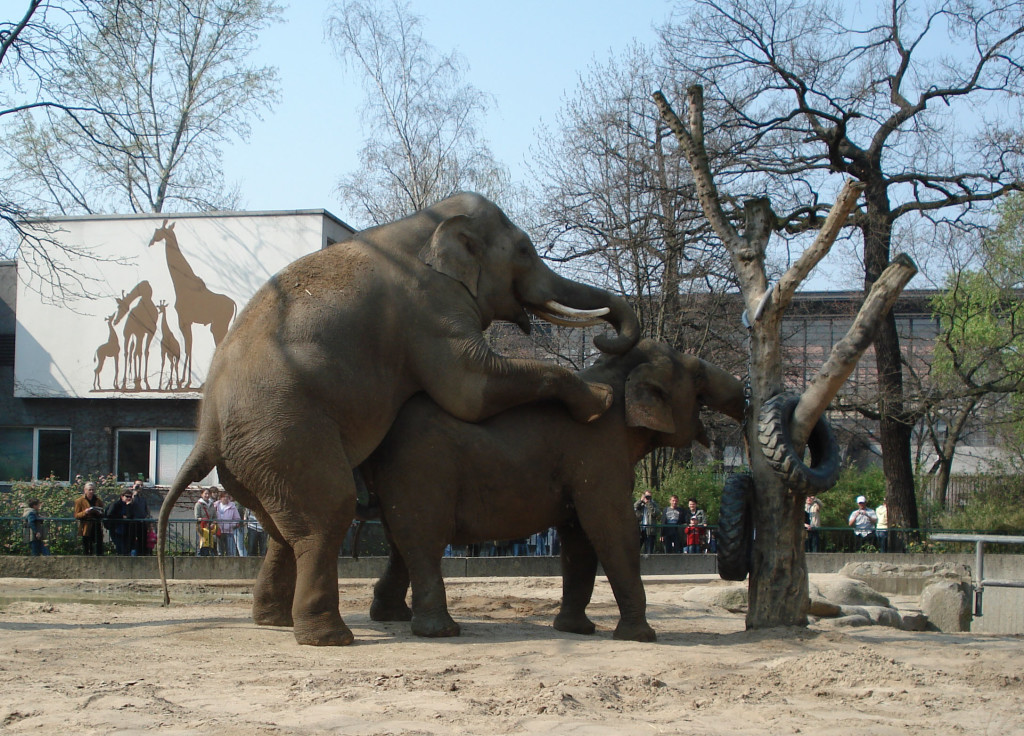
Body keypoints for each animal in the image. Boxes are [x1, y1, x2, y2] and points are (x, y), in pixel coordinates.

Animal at [157, 192, 638, 646]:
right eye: (523, 250)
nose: (606, 339)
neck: (429, 218)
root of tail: (205, 432)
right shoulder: (431, 308)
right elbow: (470, 388)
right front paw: (599, 401)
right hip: (283, 434)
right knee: (327, 514)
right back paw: (332, 638)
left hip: (254, 460)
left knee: (283, 530)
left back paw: (275, 622)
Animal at [360, 337, 745, 642]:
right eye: (697, 376)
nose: (746, 396)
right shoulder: (599, 457)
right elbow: (613, 529)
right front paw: (641, 637)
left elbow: (579, 538)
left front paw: (576, 630)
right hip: (423, 470)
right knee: (425, 541)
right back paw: (441, 631)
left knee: (401, 542)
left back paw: (391, 616)